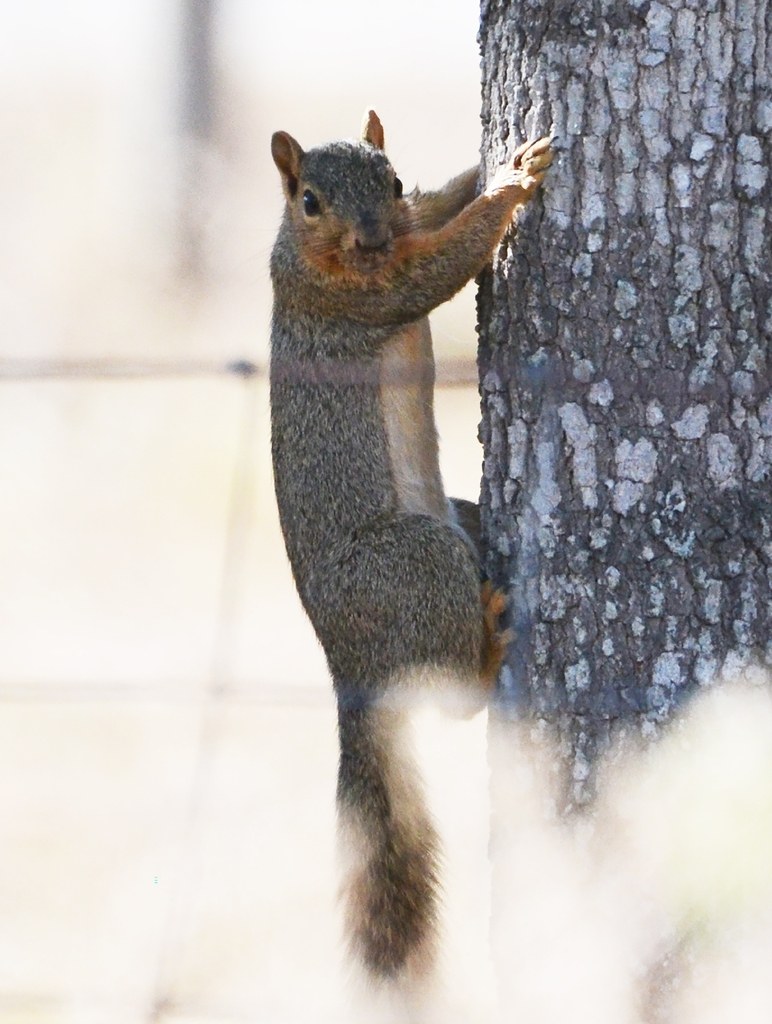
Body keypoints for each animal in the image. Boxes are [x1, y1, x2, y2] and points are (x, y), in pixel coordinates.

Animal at [269, 110, 552, 986]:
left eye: (390, 181)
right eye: (309, 199)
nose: (369, 238)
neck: (312, 256)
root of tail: (349, 668)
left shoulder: (409, 225)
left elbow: (437, 210)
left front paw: (488, 171)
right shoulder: (356, 295)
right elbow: (439, 267)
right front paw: (512, 185)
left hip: (455, 523)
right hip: (417, 560)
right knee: (456, 698)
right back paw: (490, 649)